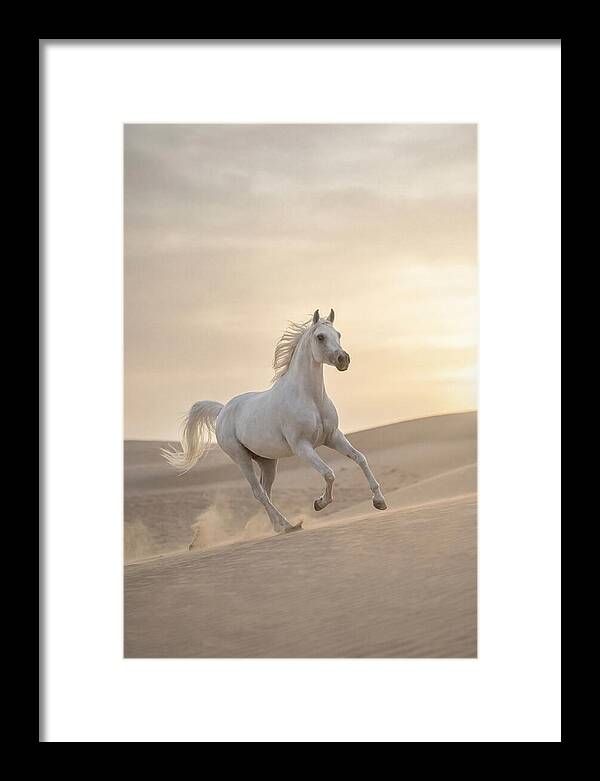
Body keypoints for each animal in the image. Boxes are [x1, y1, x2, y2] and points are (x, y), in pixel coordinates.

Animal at [162, 309, 387, 534]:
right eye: (320, 337)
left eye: (338, 334)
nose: (343, 359)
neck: (310, 398)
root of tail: (223, 410)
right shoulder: (302, 446)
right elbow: (328, 473)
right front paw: (319, 503)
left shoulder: (333, 437)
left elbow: (360, 458)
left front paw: (379, 501)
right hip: (240, 458)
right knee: (258, 492)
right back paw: (287, 525)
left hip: (267, 461)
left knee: (266, 491)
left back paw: (279, 526)